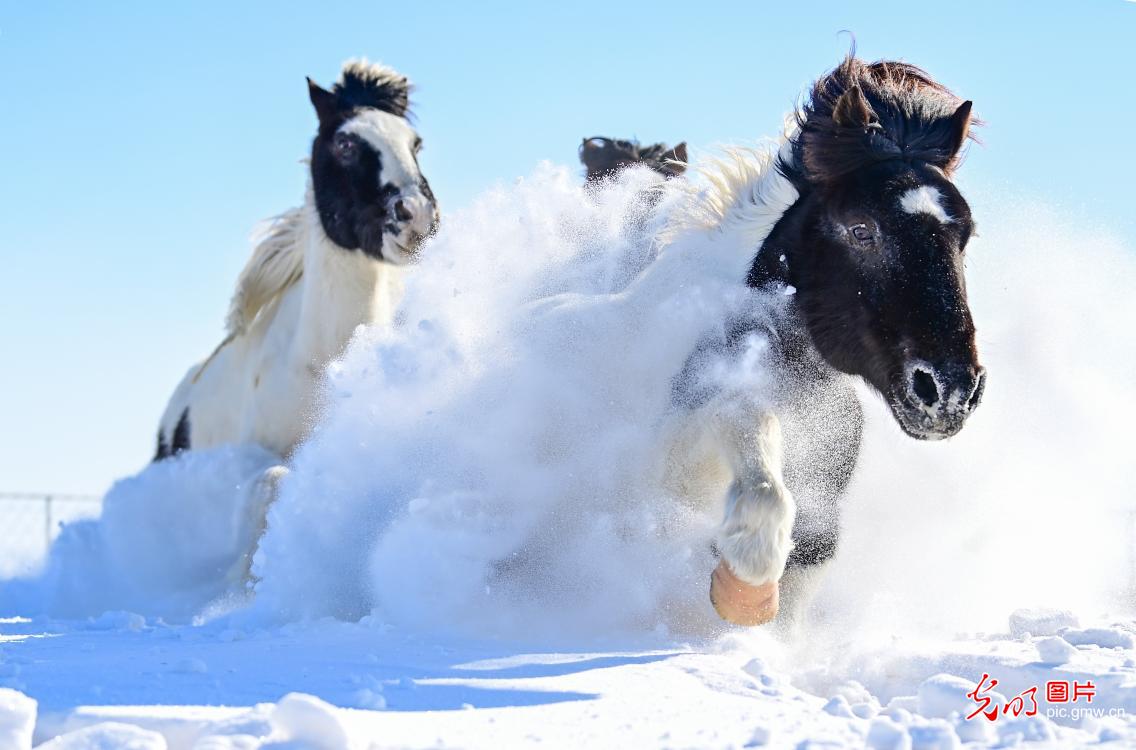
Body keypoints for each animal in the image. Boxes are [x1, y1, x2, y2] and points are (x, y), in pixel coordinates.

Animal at [656, 53, 985, 626]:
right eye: (861, 229)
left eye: (965, 236)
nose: (948, 392)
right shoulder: (669, 458)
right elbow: (750, 435)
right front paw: (744, 584)